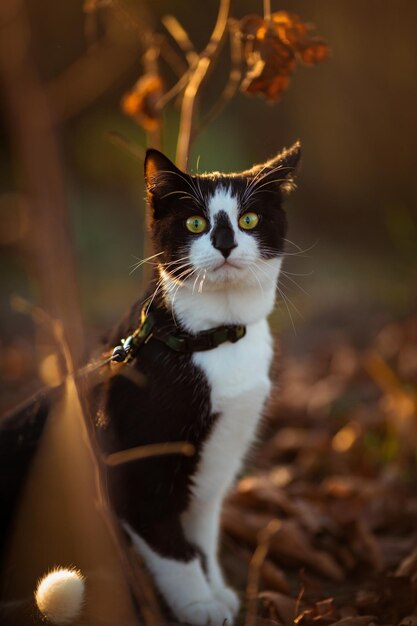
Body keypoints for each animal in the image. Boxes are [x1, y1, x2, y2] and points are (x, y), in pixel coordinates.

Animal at [95, 143, 300, 624]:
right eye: (195, 223)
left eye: (249, 220)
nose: (224, 243)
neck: (213, 337)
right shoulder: (135, 463)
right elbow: (168, 541)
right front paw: (198, 603)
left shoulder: (220, 455)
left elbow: (202, 529)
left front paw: (216, 589)